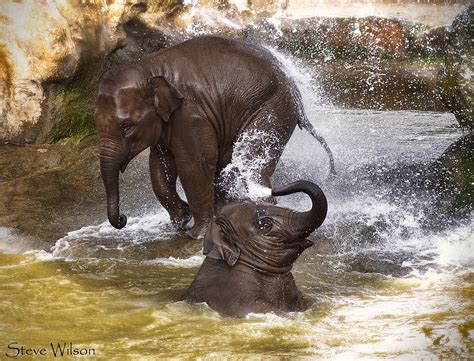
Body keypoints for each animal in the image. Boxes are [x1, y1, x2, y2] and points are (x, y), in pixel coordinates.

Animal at [94, 35, 336, 238]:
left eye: (127, 127)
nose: (122, 219)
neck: (149, 67)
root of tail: (297, 94)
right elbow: (160, 167)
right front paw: (181, 220)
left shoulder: (191, 114)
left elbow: (194, 164)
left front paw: (195, 234)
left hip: (273, 110)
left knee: (251, 163)